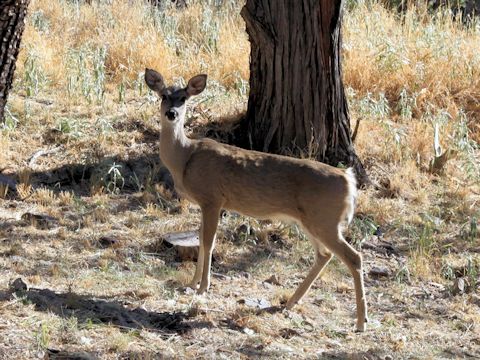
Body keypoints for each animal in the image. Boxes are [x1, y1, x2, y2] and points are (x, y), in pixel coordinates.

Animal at [143, 68, 368, 332]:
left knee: (353, 257)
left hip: (325, 219)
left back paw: (361, 322)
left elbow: (209, 243)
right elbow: (200, 239)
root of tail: (348, 180)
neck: (185, 158)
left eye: (183, 98)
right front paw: (192, 283)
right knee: (325, 254)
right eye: (163, 96)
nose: (171, 114)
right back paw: (290, 302)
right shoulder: (205, 203)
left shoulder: (212, 198)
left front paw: (203, 288)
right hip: (312, 220)